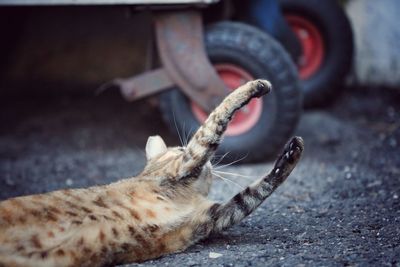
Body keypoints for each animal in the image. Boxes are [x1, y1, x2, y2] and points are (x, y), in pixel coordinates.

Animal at [0, 80, 304, 267]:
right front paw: (255, 87)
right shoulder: (189, 161)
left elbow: (254, 192)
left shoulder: (213, 217)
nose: (211, 168)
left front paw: (291, 154)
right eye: (178, 146)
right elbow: (214, 121)